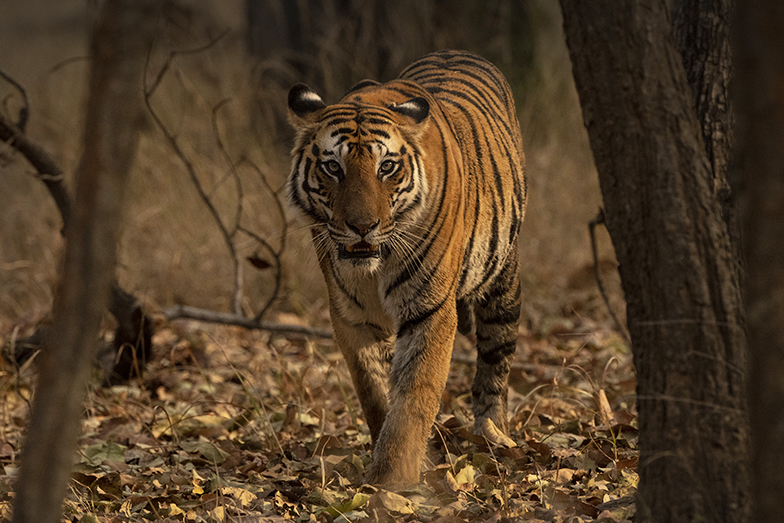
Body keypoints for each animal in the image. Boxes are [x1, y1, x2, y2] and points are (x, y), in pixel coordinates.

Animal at [286, 50, 528, 488]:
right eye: (333, 168)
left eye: (386, 167)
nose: (362, 226)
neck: (373, 267)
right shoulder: (351, 317)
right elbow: (374, 392)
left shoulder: (430, 310)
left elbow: (415, 395)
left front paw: (392, 480)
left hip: (503, 285)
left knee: (495, 365)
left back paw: (493, 434)